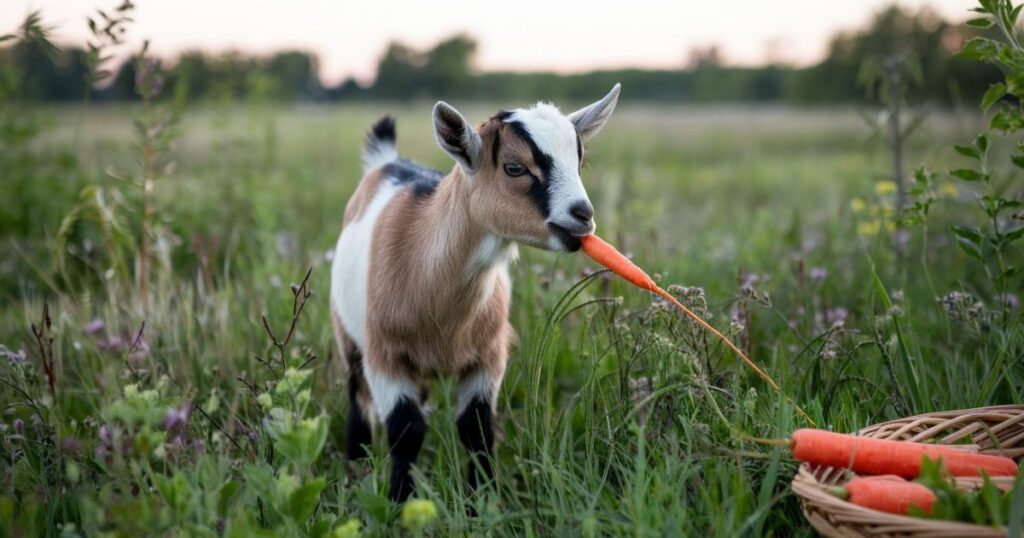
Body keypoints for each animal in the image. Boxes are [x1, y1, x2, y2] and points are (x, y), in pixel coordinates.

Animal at [329, 83, 614, 500]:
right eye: (515, 167)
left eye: (579, 163)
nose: (583, 215)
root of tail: (386, 163)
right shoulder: (385, 354)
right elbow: (405, 431)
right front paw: (399, 502)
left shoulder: (488, 356)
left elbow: (476, 428)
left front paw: (485, 497)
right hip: (346, 332)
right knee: (357, 397)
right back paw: (355, 462)